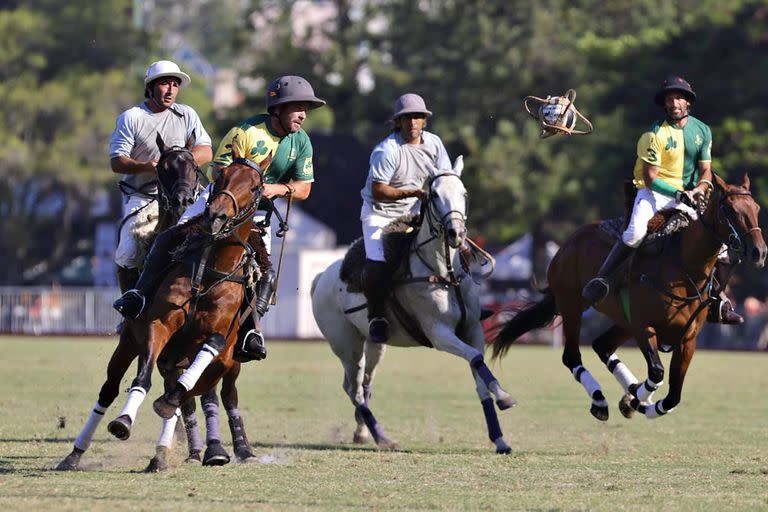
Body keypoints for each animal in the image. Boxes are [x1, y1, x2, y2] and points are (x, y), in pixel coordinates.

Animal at [99, 146, 272, 470]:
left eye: (256, 186)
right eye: (221, 175)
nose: (215, 215)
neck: (211, 270)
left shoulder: (216, 336)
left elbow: (201, 376)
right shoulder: (161, 325)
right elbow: (150, 378)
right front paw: (128, 420)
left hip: (232, 359)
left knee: (226, 394)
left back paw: (239, 449)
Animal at [310, 156, 516, 452]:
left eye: (464, 193)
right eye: (435, 194)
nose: (456, 233)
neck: (446, 275)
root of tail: (321, 276)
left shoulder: (473, 330)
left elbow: (479, 375)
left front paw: (499, 435)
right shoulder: (439, 333)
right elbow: (476, 358)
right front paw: (505, 397)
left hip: (374, 342)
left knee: (365, 383)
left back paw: (362, 431)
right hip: (345, 344)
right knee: (353, 388)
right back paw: (382, 437)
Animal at [492, 174, 760, 422]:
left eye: (756, 208)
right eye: (730, 210)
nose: (760, 251)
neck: (684, 268)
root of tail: (567, 243)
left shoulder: (688, 339)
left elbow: (673, 395)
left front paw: (634, 401)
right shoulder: (643, 327)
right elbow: (656, 373)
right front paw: (633, 401)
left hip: (622, 321)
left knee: (601, 345)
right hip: (572, 306)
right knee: (572, 356)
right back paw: (600, 400)